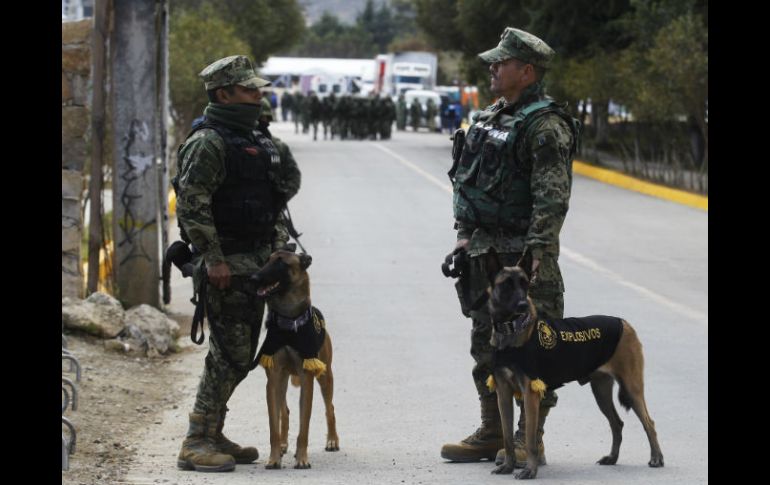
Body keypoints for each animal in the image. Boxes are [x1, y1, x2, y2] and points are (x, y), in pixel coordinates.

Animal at [250, 248, 338, 466]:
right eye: (267, 260)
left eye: (281, 263)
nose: (253, 278)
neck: (290, 321)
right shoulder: (273, 379)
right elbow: (274, 425)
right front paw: (274, 458)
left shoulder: (307, 377)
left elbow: (304, 427)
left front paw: (302, 458)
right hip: (281, 379)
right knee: (285, 411)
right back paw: (283, 445)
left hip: (325, 377)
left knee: (330, 408)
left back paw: (332, 440)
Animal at [484, 250, 664, 476]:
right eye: (507, 285)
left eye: (525, 284)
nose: (523, 305)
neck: (511, 330)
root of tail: (624, 323)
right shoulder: (503, 394)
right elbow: (507, 436)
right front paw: (508, 466)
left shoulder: (530, 392)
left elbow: (530, 439)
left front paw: (530, 471)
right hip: (601, 392)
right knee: (617, 423)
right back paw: (612, 457)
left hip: (632, 388)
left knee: (649, 422)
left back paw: (656, 457)